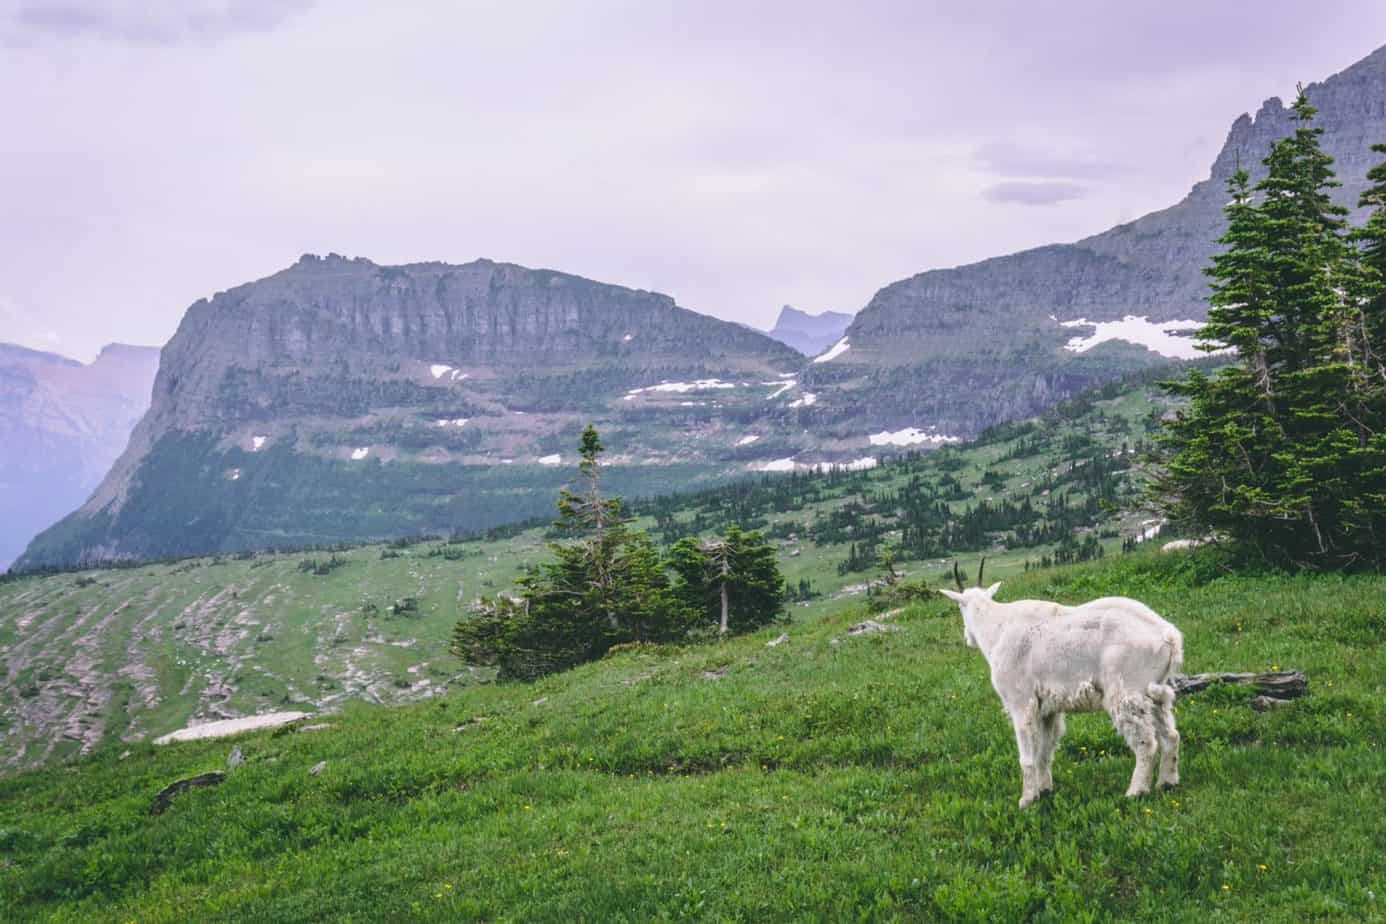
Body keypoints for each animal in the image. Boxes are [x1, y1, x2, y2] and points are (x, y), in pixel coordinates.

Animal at [942, 559, 1191, 803]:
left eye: (959, 607)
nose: (968, 638)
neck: (996, 628)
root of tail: (1169, 637)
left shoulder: (1020, 701)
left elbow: (1027, 756)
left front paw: (1027, 799)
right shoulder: (1047, 708)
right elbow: (1044, 751)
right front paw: (1045, 789)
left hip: (1128, 690)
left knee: (1146, 743)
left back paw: (1136, 791)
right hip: (1154, 691)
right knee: (1171, 734)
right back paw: (1167, 782)